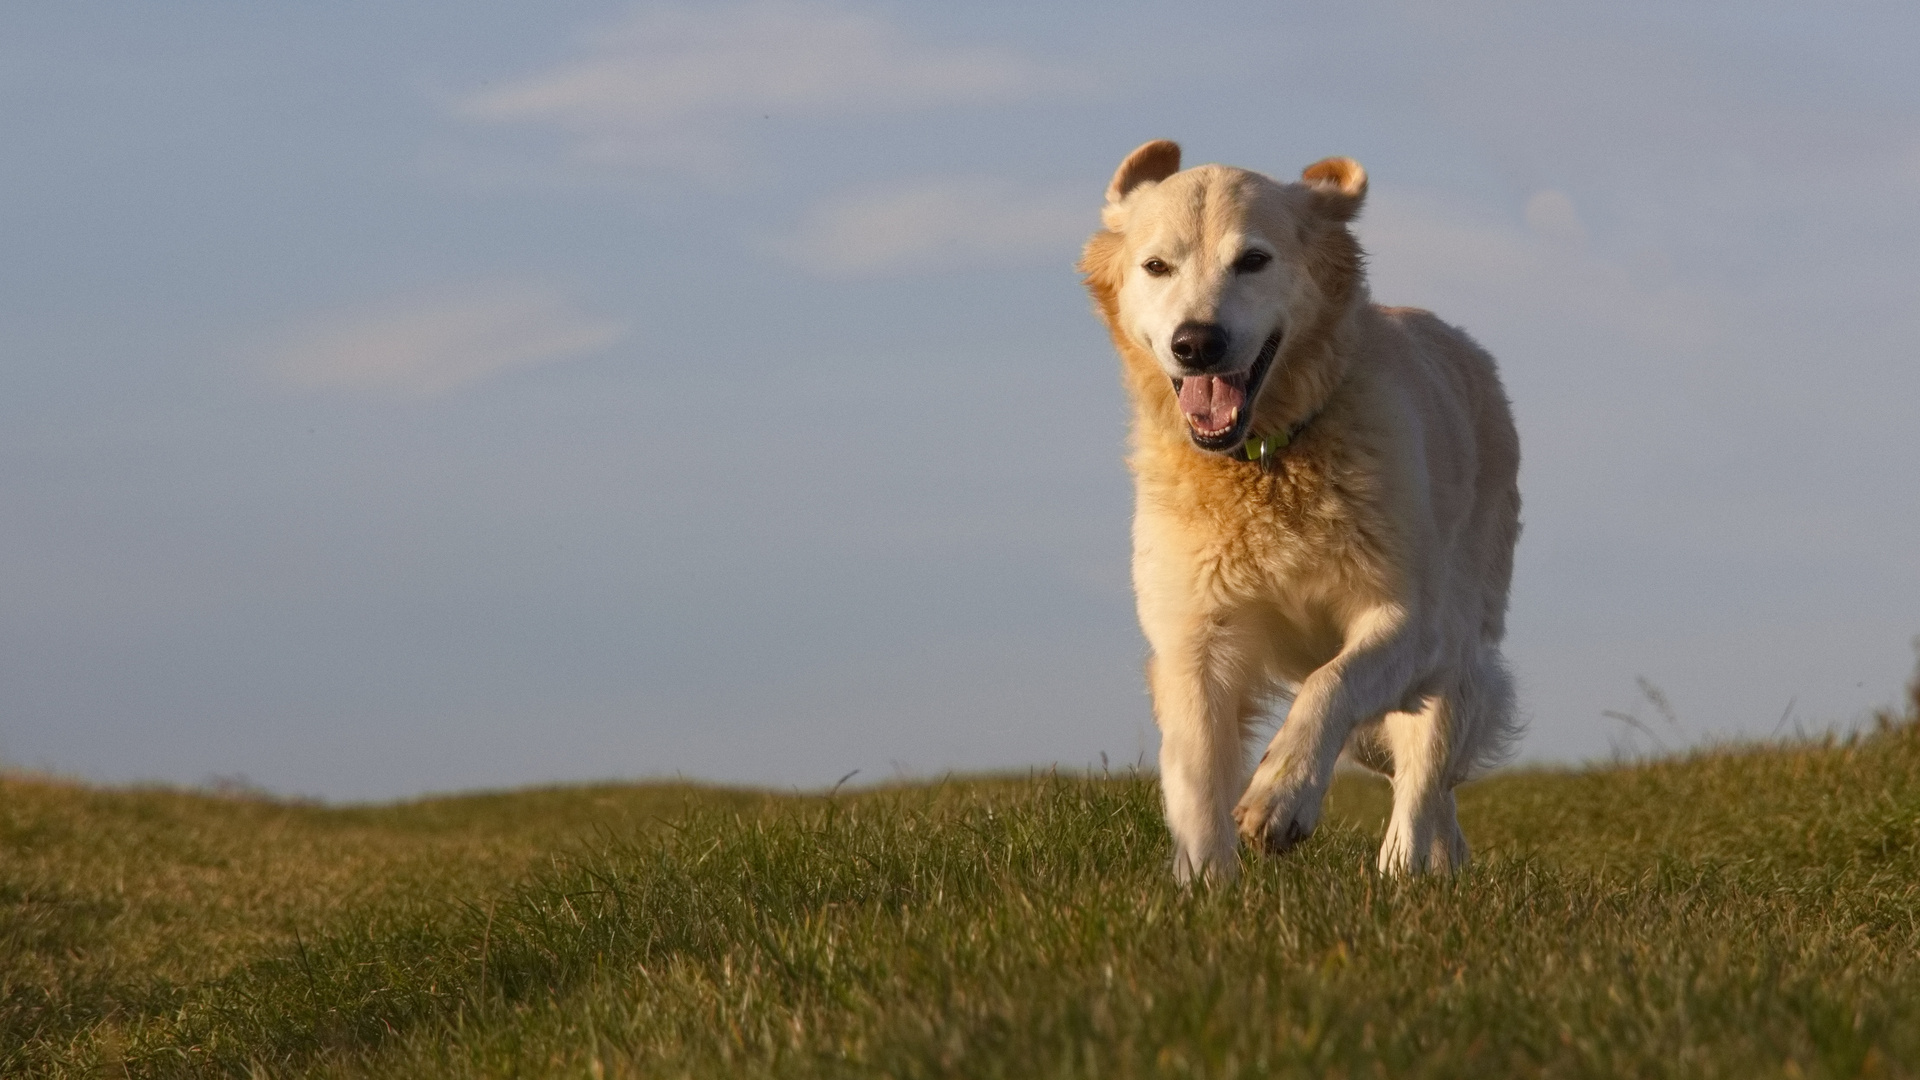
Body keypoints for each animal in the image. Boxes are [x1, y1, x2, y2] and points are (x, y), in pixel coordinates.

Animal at [1082, 143, 1512, 880]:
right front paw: (1206, 883)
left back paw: (1403, 866)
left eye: (1253, 260)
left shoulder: (1408, 619)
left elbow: (1330, 685)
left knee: (1425, 770)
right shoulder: (1193, 636)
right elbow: (1196, 775)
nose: (1196, 342)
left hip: (1459, 634)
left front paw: (1280, 799)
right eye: (1157, 266)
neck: (1266, 458)